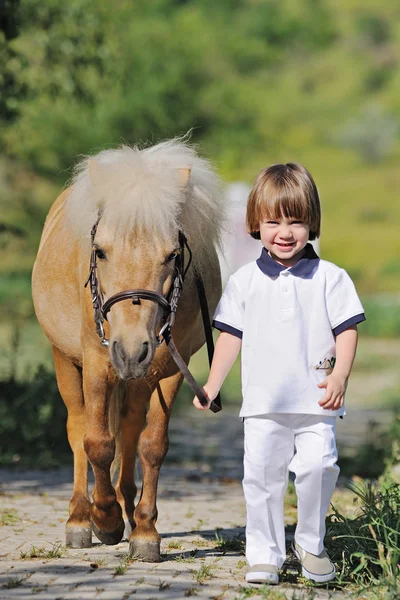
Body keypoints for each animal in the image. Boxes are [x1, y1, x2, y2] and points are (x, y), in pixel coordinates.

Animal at [32, 138, 225, 560]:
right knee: (77, 429)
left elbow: (152, 445)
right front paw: (104, 520)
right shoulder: (97, 363)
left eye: (172, 254)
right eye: (101, 252)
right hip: (65, 361)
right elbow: (97, 443)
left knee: (130, 427)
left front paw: (144, 530)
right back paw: (79, 518)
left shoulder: (170, 368)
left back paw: (128, 505)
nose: (133, 349)